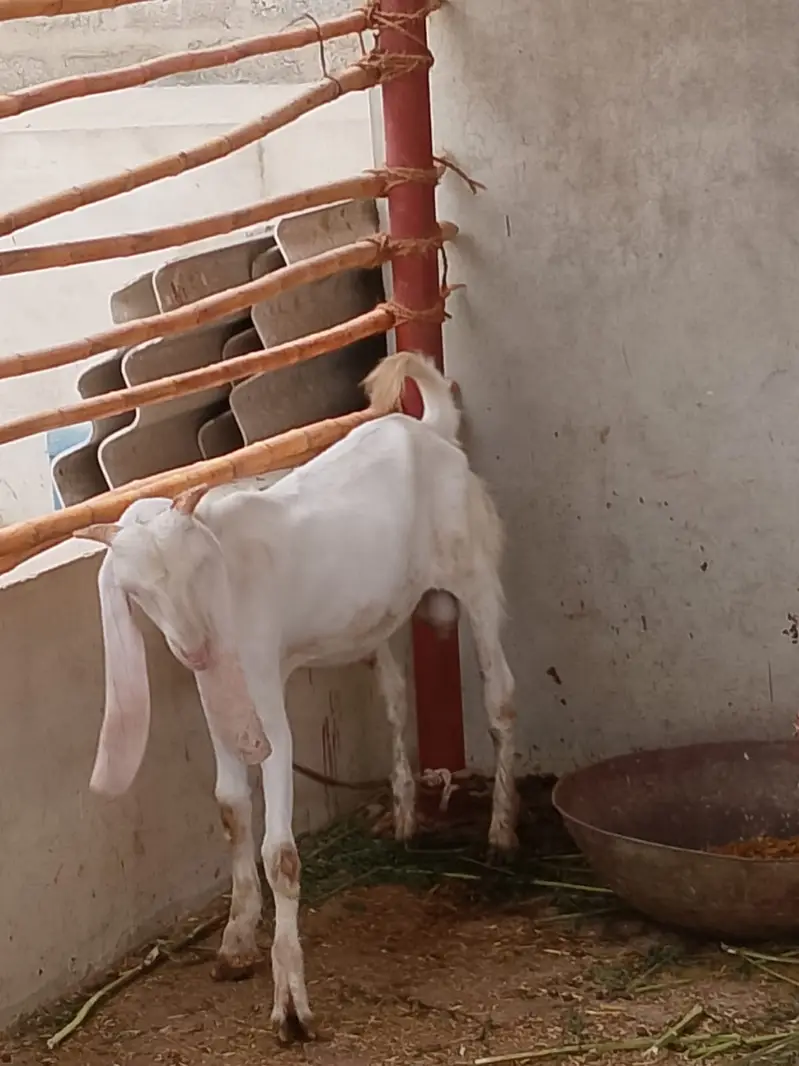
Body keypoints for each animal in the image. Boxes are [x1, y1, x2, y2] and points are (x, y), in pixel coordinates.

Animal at [74, 351, 518, 1042]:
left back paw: (501, 836)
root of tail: (432, 431)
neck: (224, 593)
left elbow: (280, 852)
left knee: (500, 698)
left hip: (475, 575)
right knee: (395, 700)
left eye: (192, 569)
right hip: (383, 614)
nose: (192, 648)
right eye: (136, 590)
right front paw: (235, 943)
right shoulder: (216, 697)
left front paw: (291, 1005)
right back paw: (407, 818)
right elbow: (231, 809)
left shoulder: (266, 696)